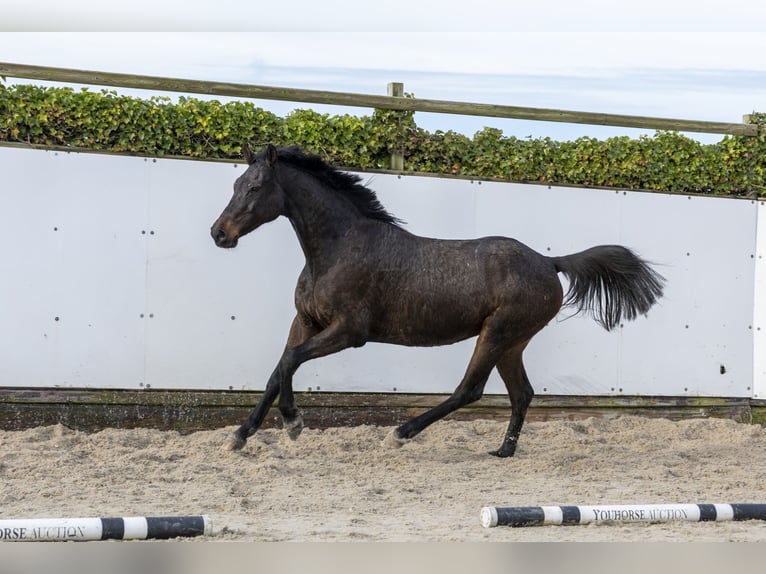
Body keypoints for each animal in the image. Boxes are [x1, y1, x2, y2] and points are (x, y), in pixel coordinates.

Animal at [210, 144, 665, 457]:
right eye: (234, 185)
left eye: (255, 187)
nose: (219, 233)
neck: (338, 250)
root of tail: (549, 262)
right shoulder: (305, 321)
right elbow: (278, 370)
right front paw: (239, 437)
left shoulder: (349, 331)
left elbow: (290, 362)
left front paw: (293, 422)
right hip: (512, 342)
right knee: (522, 393)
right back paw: (503, 451)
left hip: (497, 333)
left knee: (470, 390)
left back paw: (400, 434)